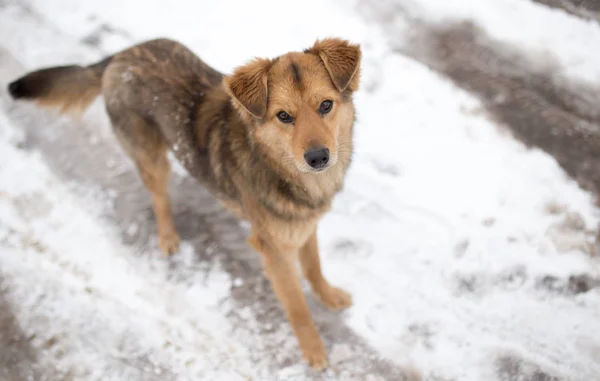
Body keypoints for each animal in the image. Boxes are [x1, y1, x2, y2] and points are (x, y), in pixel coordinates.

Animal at [7, 38, 360, 368]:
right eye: (283, 116)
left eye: (326, 105)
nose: (318, 157)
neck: (280, 167)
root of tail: (121, 55)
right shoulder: (274, 250)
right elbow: (298, 308)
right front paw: (313, 351)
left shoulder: (303, 225)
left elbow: (314, 266)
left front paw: (329, 296)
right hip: (152, 158)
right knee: (159, 198)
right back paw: (168, 238)